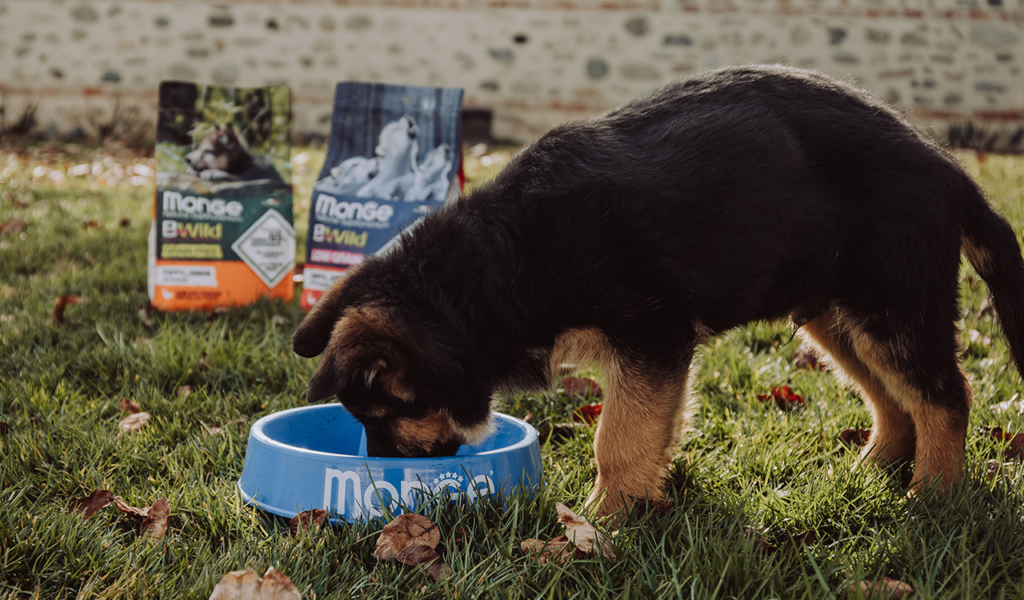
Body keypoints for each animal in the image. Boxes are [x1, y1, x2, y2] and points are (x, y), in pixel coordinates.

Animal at [292, 64, 1024, 513]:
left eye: (382, 415)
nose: (385, 476)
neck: (497, 267)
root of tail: (947, 167)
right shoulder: (657, 350)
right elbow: (650, 430)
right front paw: (642, 503)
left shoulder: (652, 334)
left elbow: (618, 437)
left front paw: (602, 521)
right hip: (834, 313)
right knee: (891, 398)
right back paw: (869, 473)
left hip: (890, 305)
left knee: (945, 396)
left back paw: (932, 498)